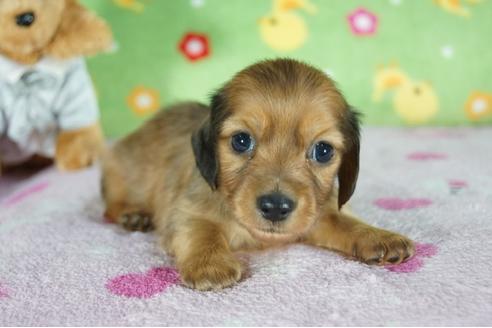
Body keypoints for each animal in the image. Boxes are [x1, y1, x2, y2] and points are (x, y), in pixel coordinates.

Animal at [103, 58, 416, 290]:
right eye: (241, 141)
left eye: (323, 150)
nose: (275, 207)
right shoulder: (186, 212)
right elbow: (202, 231)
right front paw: (210, 264)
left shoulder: (319, 212)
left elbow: (346, 223)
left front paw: (379, 237)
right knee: (110, 205)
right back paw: (133, 214)